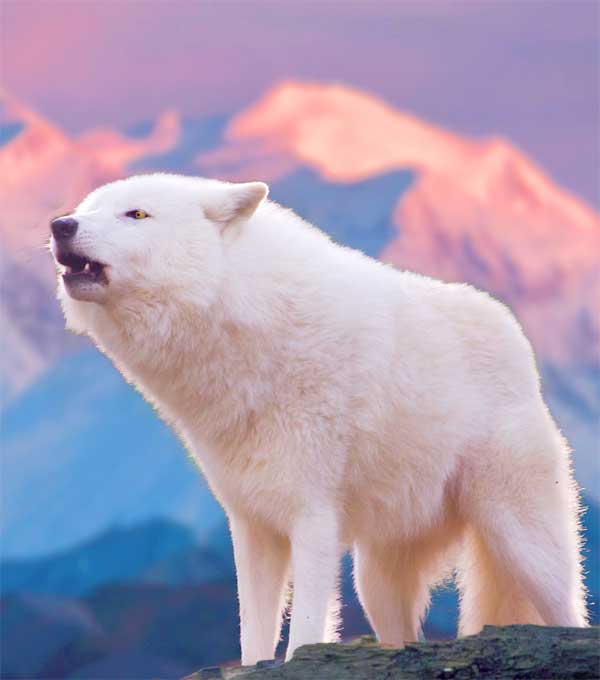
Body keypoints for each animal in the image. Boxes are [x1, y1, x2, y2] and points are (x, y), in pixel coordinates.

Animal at [50, 174, 584, 664]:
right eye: (86, 209)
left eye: (136, 214)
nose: (60, 224)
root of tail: (516, 338)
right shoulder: (253, 525)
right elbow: (254, 635)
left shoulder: (313, 517)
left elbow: (305, 627)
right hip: (375, 578)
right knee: (400, 635)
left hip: (522, 540)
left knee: (571, 615)